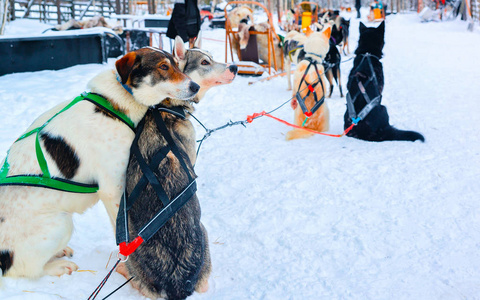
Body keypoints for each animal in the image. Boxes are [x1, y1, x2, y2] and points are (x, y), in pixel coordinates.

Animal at [0, 47, 199, 278]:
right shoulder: (113, 190)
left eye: (176, 64)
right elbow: (123, 232)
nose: (196, 86)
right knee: (26, 270)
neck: (115, 103)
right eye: (163, 66)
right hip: (61, 224)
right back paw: (57, 266)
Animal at [116, 37, 236, 300]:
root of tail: (176, 282)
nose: (234, 67)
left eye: (212, 56)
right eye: (205, 62)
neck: (164, 106)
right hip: (203, 232)